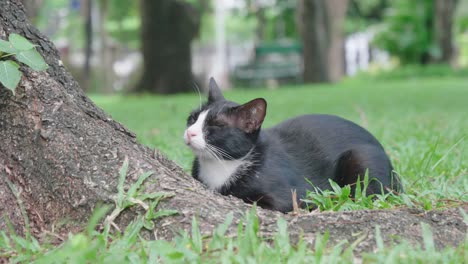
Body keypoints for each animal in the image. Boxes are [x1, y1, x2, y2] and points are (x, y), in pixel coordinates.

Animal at [183, 77, 402, 211]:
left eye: (216, 125)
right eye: (192, 118)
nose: (190, 132)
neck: (222, 164)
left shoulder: (287, 198)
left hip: (360, 157)